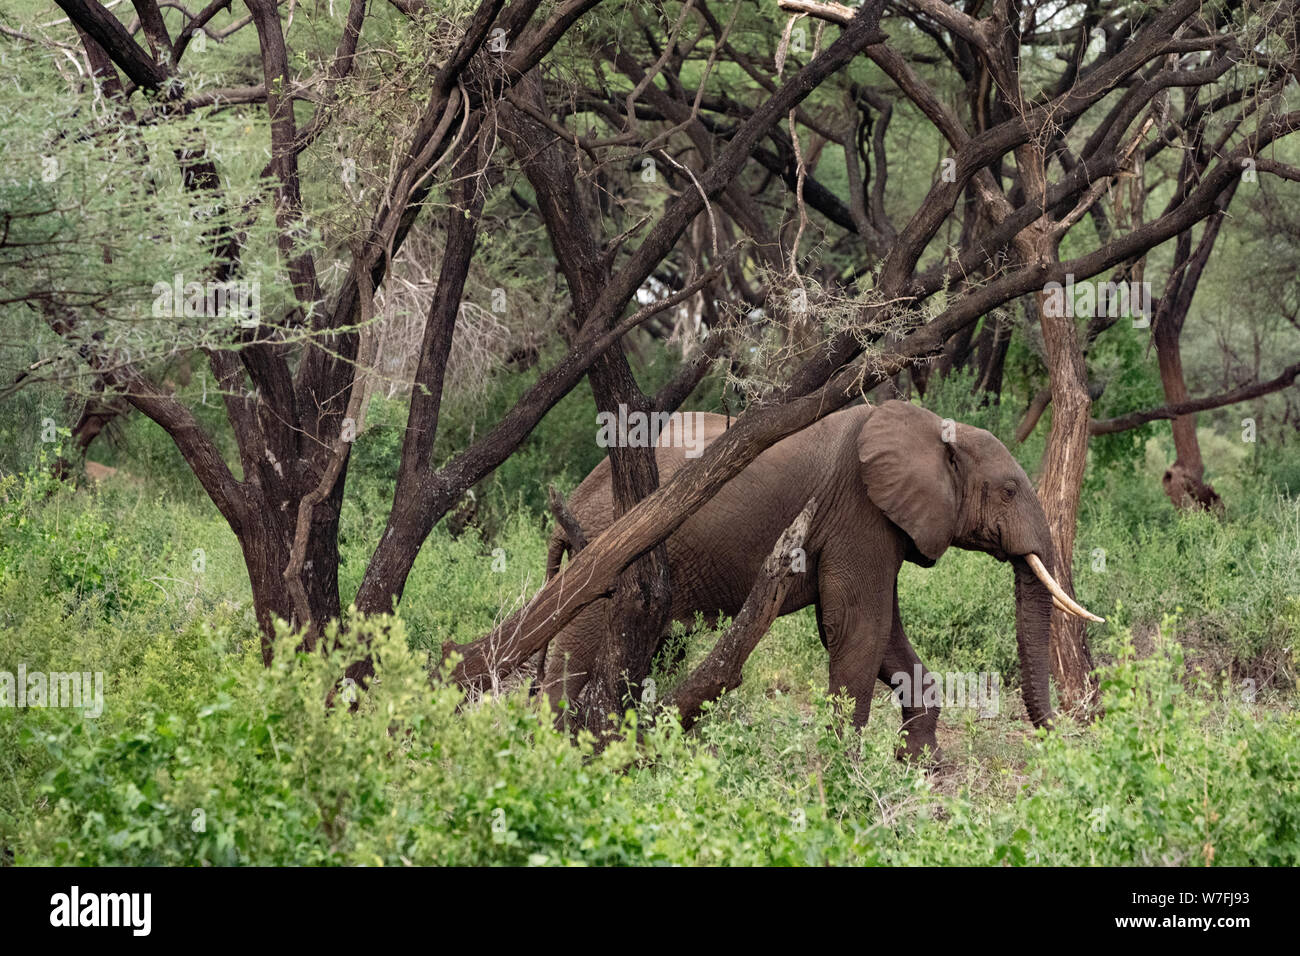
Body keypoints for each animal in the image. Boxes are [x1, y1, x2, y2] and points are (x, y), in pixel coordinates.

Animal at [538, 400, 1097, 759]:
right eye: (1008, 491)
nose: (1069, 734)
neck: (934, 427)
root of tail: (573, 498)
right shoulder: (860, 510)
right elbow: (858, 626)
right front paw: (846, 768)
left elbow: (880, 633)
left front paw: (922, 767)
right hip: (608, 558)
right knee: (575, 652)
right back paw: (557, 755)